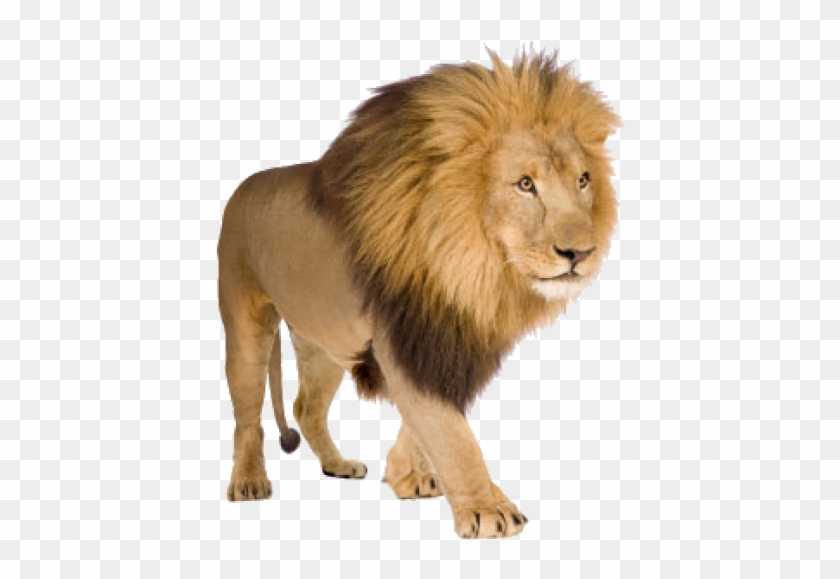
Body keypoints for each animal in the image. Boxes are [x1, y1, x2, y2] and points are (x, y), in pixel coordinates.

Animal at [217, 50, 619, 538]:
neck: (473, 268)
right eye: (525, 184)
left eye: (583, 180)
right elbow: (451, 434)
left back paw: (337, 464)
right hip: (246, 328)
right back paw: (249, 480)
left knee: (305, 407)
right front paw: (488, 509)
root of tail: (242, 186)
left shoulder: (448, 343)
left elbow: (426, 423)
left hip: (324, 342)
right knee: (247, 417)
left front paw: (408, 476)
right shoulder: (405, 339)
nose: (581, 253)